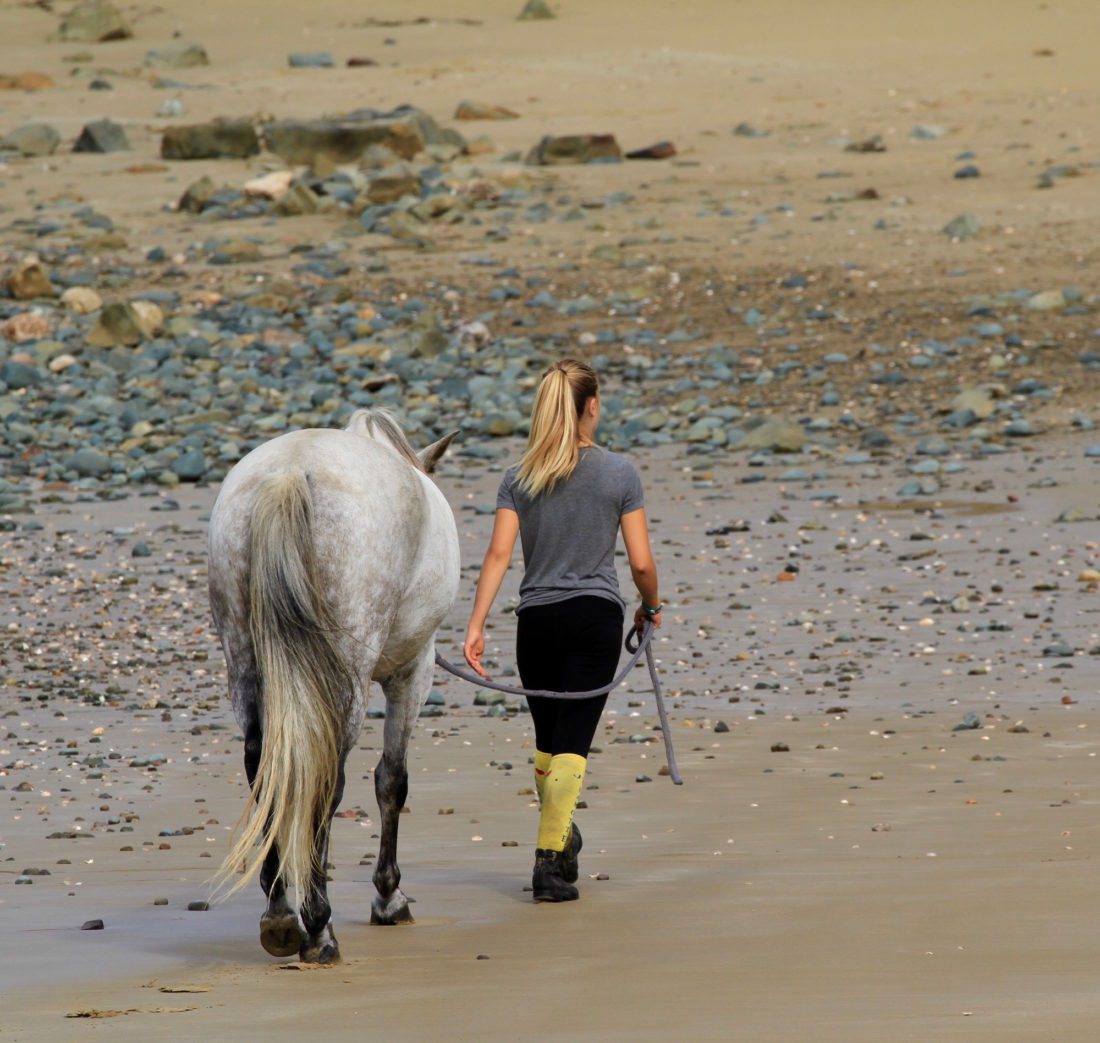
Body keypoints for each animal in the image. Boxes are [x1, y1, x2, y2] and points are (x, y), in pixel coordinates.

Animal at [206, 407, 459, 959]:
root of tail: (287, 474)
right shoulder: (414, 670)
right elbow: (391, 780)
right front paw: (388, 896)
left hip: (243, 661)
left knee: (264, 766)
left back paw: (280, 914)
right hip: (348, 675)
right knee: (324, 777)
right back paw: (318, 926)